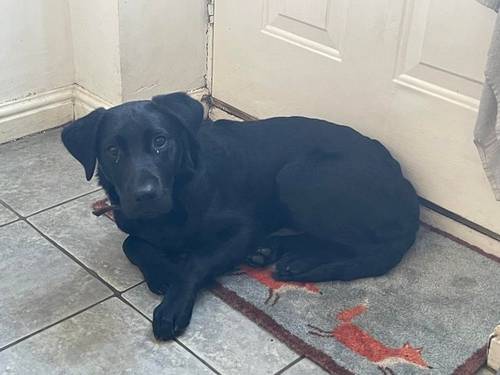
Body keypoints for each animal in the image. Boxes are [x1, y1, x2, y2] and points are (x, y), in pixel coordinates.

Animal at [60, 92, 418, 340]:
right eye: (112, 151)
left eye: (161, 141)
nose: (146, 194)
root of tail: (406, 187)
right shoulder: (126, 217)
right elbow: (131, 243)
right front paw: (160, 270)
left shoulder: (243, 228)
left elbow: (196, 261)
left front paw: (173, 304)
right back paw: (277, 252)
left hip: (297, 174)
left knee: (364, 246)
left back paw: (296, 259)